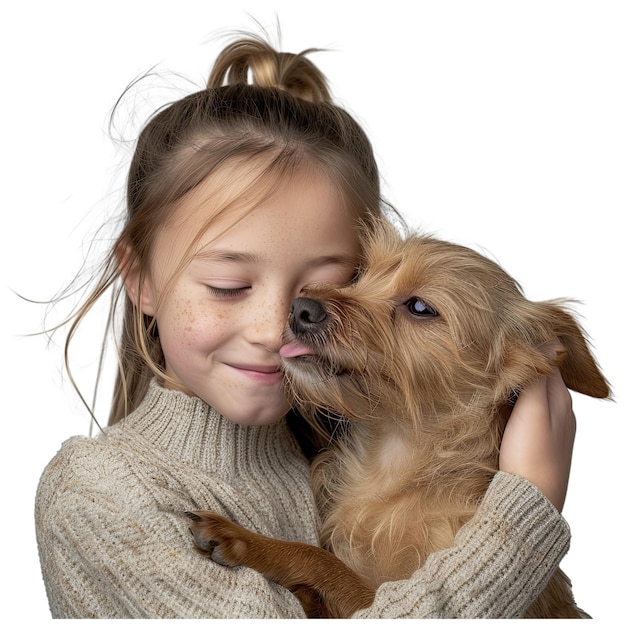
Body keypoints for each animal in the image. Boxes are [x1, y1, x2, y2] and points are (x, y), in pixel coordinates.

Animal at [186, 218, 608, 616]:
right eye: (358, 276)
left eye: (420, 308)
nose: (301, 307)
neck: (394, 462)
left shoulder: (375, 597)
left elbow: (321, 560)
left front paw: (244, 541)